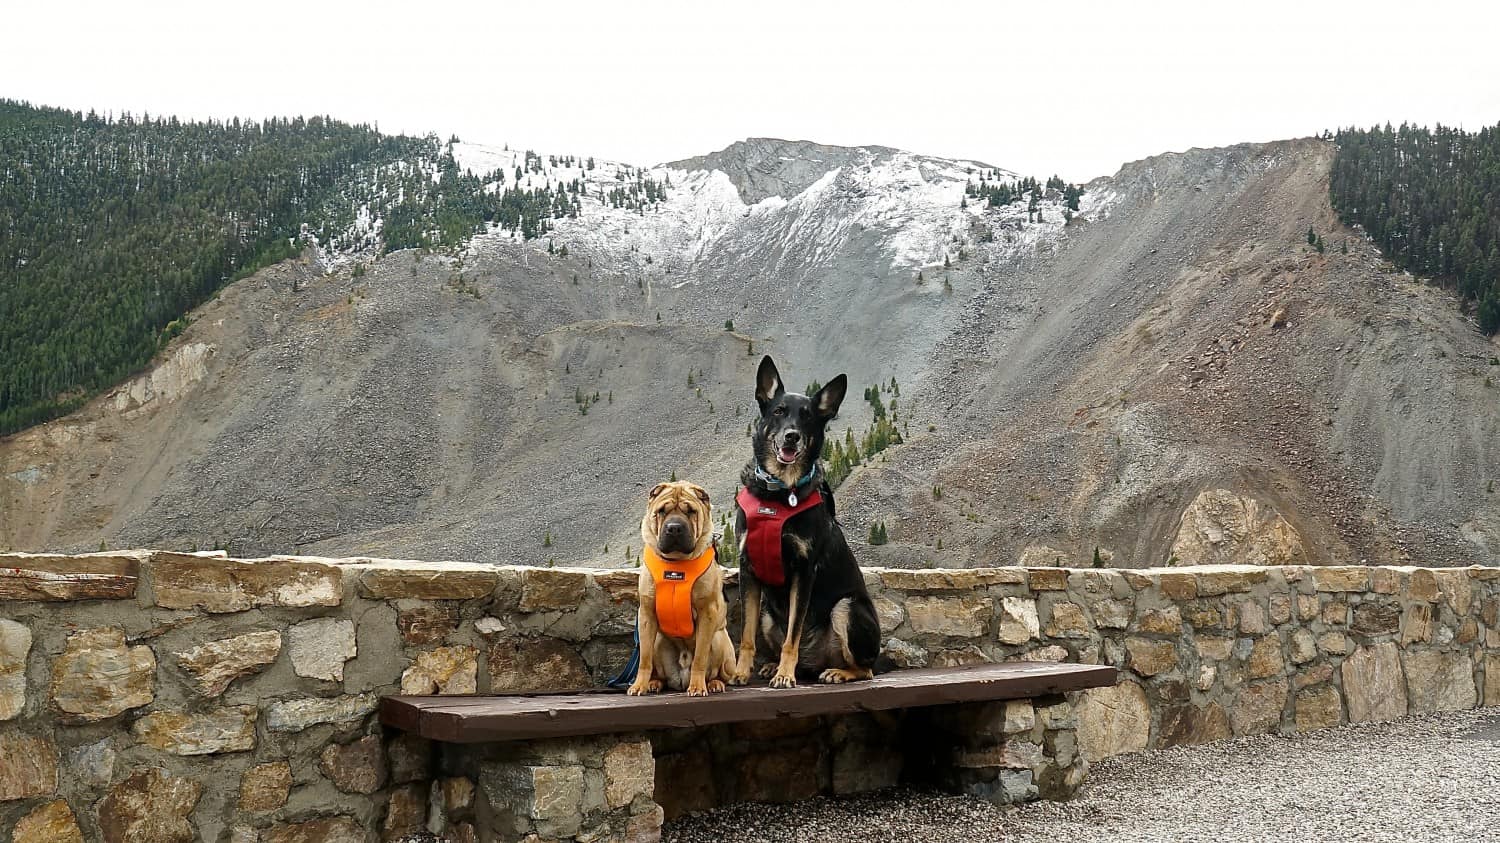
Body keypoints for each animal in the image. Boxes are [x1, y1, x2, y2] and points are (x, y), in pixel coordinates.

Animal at [624, 480, 735, 696]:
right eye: (661, 511)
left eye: (691, 511)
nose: (674, 528)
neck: (676, 564)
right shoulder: (647, 613)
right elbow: (644, 659)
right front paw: (639, 685)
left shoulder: (707, 612)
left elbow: (700, 656)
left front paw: (698, 687)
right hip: (658, 640)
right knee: (659, 670)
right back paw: (654, 683)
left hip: (720, 641)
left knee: (717, 671)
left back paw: (714, 683)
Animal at [729, 357, 876, 687]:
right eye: (779, 412)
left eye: (807, 417)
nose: (791, 436)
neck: (778, 494)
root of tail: (814, 661)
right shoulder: (748, 569)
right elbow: (746, 635)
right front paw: (741, 672)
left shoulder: (803, 570)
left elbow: (792, 635)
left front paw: (785, 675)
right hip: (768, 614)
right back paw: (773, 666)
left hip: (847, 607)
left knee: (866, 669)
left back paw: (835, 671)